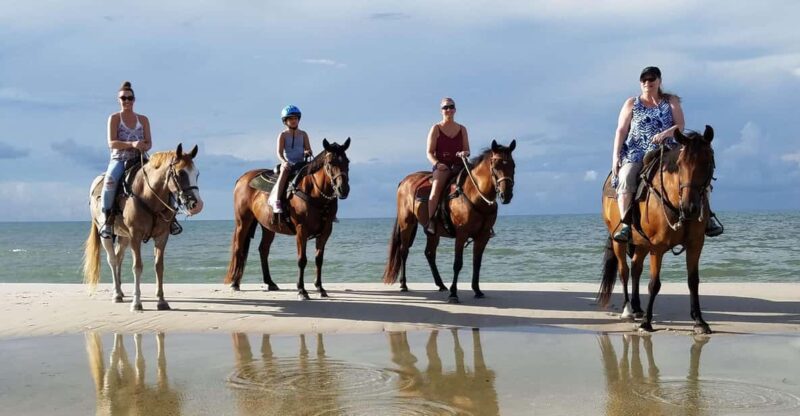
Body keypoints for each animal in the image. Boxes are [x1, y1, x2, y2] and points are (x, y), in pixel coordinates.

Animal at [82, 144, 203, 311]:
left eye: (197, 173)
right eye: (180, 173)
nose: (197, 205)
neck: (148, 196)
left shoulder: (162, 236)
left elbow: (159, 266)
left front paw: (161, 301)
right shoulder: (135, 236)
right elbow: (137, 267)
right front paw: (137, 303)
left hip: (124, 236)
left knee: (119, 257)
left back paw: (120, 291)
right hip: (106, 234)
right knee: (112, 260)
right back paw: (116, 294)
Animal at [223, 138, 351, 300]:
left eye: (347, 161)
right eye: (330, 162)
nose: (343, 189)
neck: (315, 192)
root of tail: (243, 178)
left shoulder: (326, 230)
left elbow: (319, 260)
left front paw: (320, 288)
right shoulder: (301, 230)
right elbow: (302, 260)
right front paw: (302, 290)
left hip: (268, 227)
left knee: (263, 250)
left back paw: (270, 282)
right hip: (243, 222)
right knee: (239, 248)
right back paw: (235, 283)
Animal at [382, 139, 516, 303]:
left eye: (513, 165)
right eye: (496, 166)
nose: (506, 195)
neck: (475, 195)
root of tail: (404, 181)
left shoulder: (483, 236)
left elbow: (477, 263)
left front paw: (477, 290)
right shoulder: (461, 234)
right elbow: (458, 264)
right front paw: (453, 293)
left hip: (432, 233)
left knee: (429, 253)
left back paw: (440, 284)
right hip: (407, 224)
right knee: (404, 251)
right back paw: (404, 284)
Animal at [598, 126, 716, 334]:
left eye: (707, 161)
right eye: (679, 164)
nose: (690, 207)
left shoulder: (695, 244)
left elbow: (693, 281)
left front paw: (699, 321)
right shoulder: (657, 247)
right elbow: (654, 284)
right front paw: (647, 322)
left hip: (642, 244)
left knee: (636, 269)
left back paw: (637, 308)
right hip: (618, 241)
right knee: (624, 271)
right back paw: (628, 310)